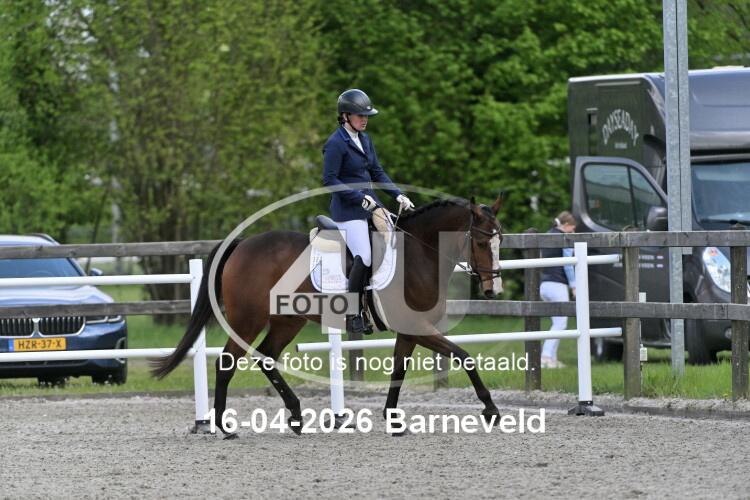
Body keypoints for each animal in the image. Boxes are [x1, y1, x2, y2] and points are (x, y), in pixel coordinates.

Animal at [151, 196, 504, 436]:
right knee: (227, 362)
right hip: (248, 320)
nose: (493, 289)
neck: (418, 255)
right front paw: (490, 409)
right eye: (481, 241)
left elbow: (398, 371)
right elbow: (464, 356)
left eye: (500, 239)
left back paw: (295, 415)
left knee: (267, 357)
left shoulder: (410, 330)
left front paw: (392, 418)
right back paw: (223, 426)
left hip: (287, 321)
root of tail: (243, 244)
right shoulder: (417, 327)